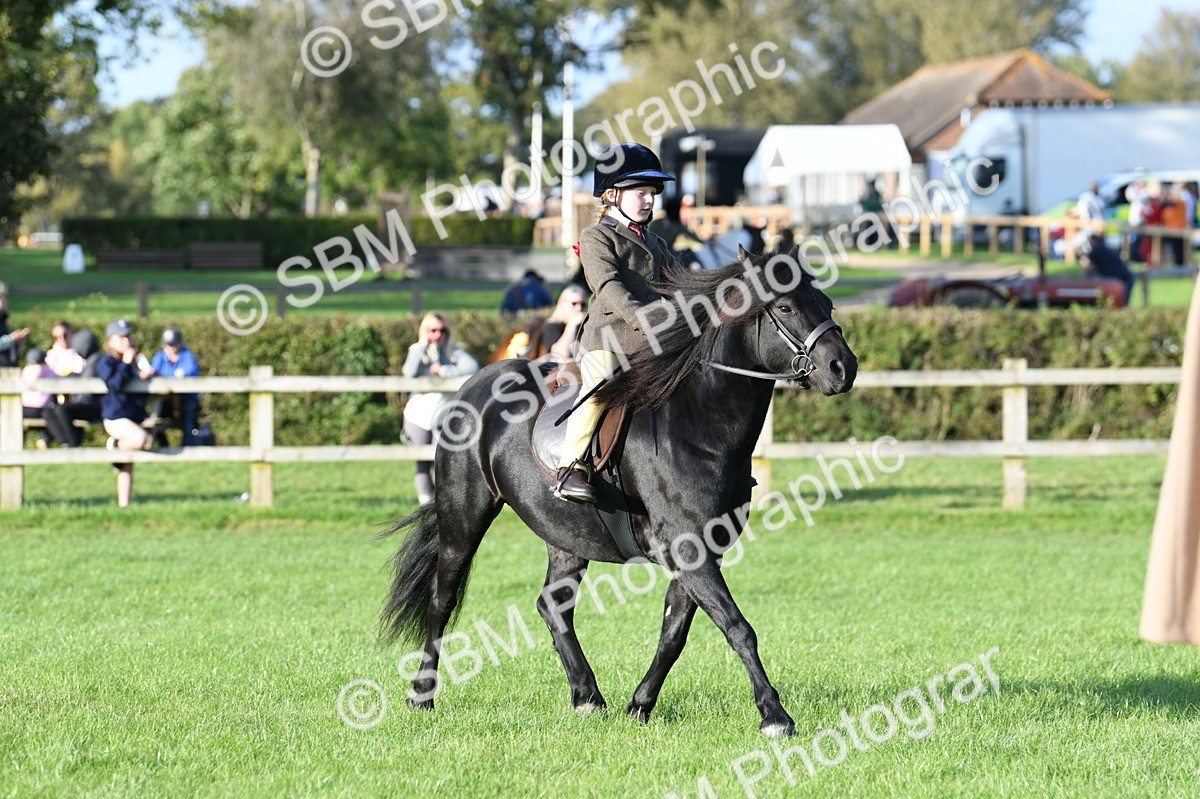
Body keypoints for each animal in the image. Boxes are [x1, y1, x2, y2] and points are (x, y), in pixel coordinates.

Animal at [380, 246, 857, 737]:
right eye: (785, 307)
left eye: (826, 303)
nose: (844, 369)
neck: (699, 425)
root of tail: (473, 387)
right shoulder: (689, 548)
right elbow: (737, 626)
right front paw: (774, 715)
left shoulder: (705, 549)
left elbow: (675, 631)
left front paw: (640, 705)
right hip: (464, 517)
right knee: (442, 600)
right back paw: (422, 695)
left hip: (566, 535)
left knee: (553, 607)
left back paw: (587, 696)